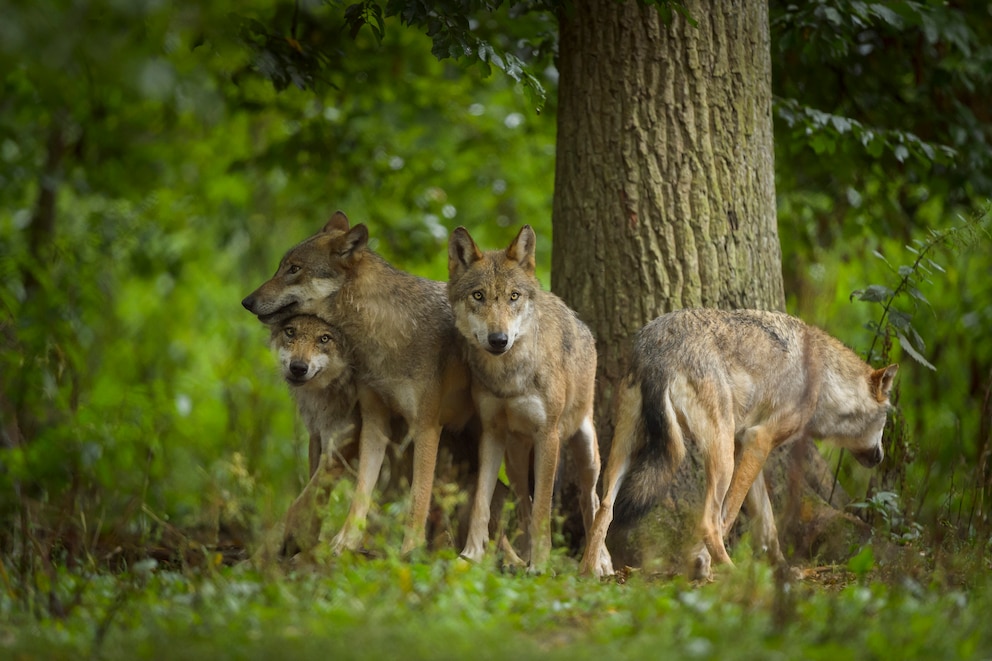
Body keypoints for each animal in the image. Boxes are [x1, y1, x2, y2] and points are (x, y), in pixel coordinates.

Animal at [246, 214, 482, 556]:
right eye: (281, 267)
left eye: (294, 269)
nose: (246, 301)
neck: (385, 334)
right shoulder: (373, 422)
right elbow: (359, 491)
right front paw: (344, 542)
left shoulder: (425, 427)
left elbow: (417, 498)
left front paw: (409, 551)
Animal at [450, 224, 604, 568]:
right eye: (478, 296)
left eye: (513, 296)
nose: (498, 339)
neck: (508, 377)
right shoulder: (491, 432)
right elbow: (482, 501)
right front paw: (470, 553)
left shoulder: (548, 435)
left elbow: (544, 509)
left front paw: (542, 564)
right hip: (516, 459)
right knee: (523, 503)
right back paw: (519, 558)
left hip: (586, 454)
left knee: (592, 501)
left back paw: (599, 565)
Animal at [580, 306, 900, 580]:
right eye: (886, 420)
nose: (881, 458)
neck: (825, 379)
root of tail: (659, 346)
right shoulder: (760, 440)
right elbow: (729, 516)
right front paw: (701, 565)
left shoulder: (747, 445)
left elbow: (768, 525)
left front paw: (784, 569)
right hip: (721, 461)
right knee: (709, 522)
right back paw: (729, 571)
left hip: (625, 452)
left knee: (604, 509)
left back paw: (589, 571)